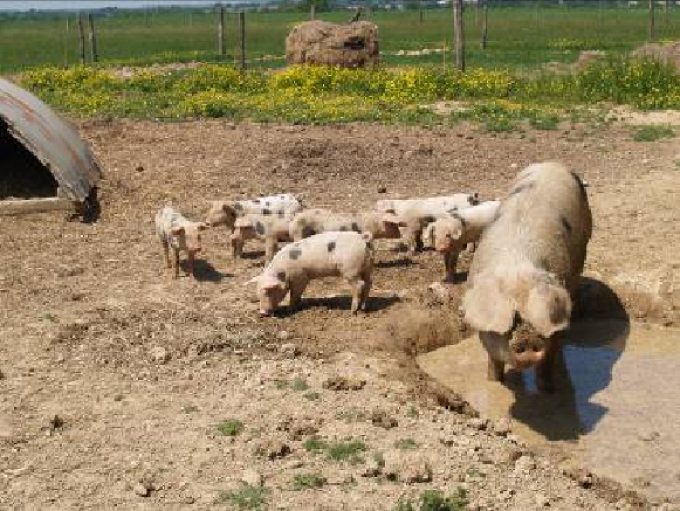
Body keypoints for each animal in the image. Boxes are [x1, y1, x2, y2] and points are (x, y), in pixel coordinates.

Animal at [462, 162, 591, 392]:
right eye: (512, 319)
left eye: (538, 315)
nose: (528, 338)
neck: (517, 270)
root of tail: (551, 162)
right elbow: (493, 361)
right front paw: (493, 382)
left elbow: (549, 360)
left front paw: (547, 390)